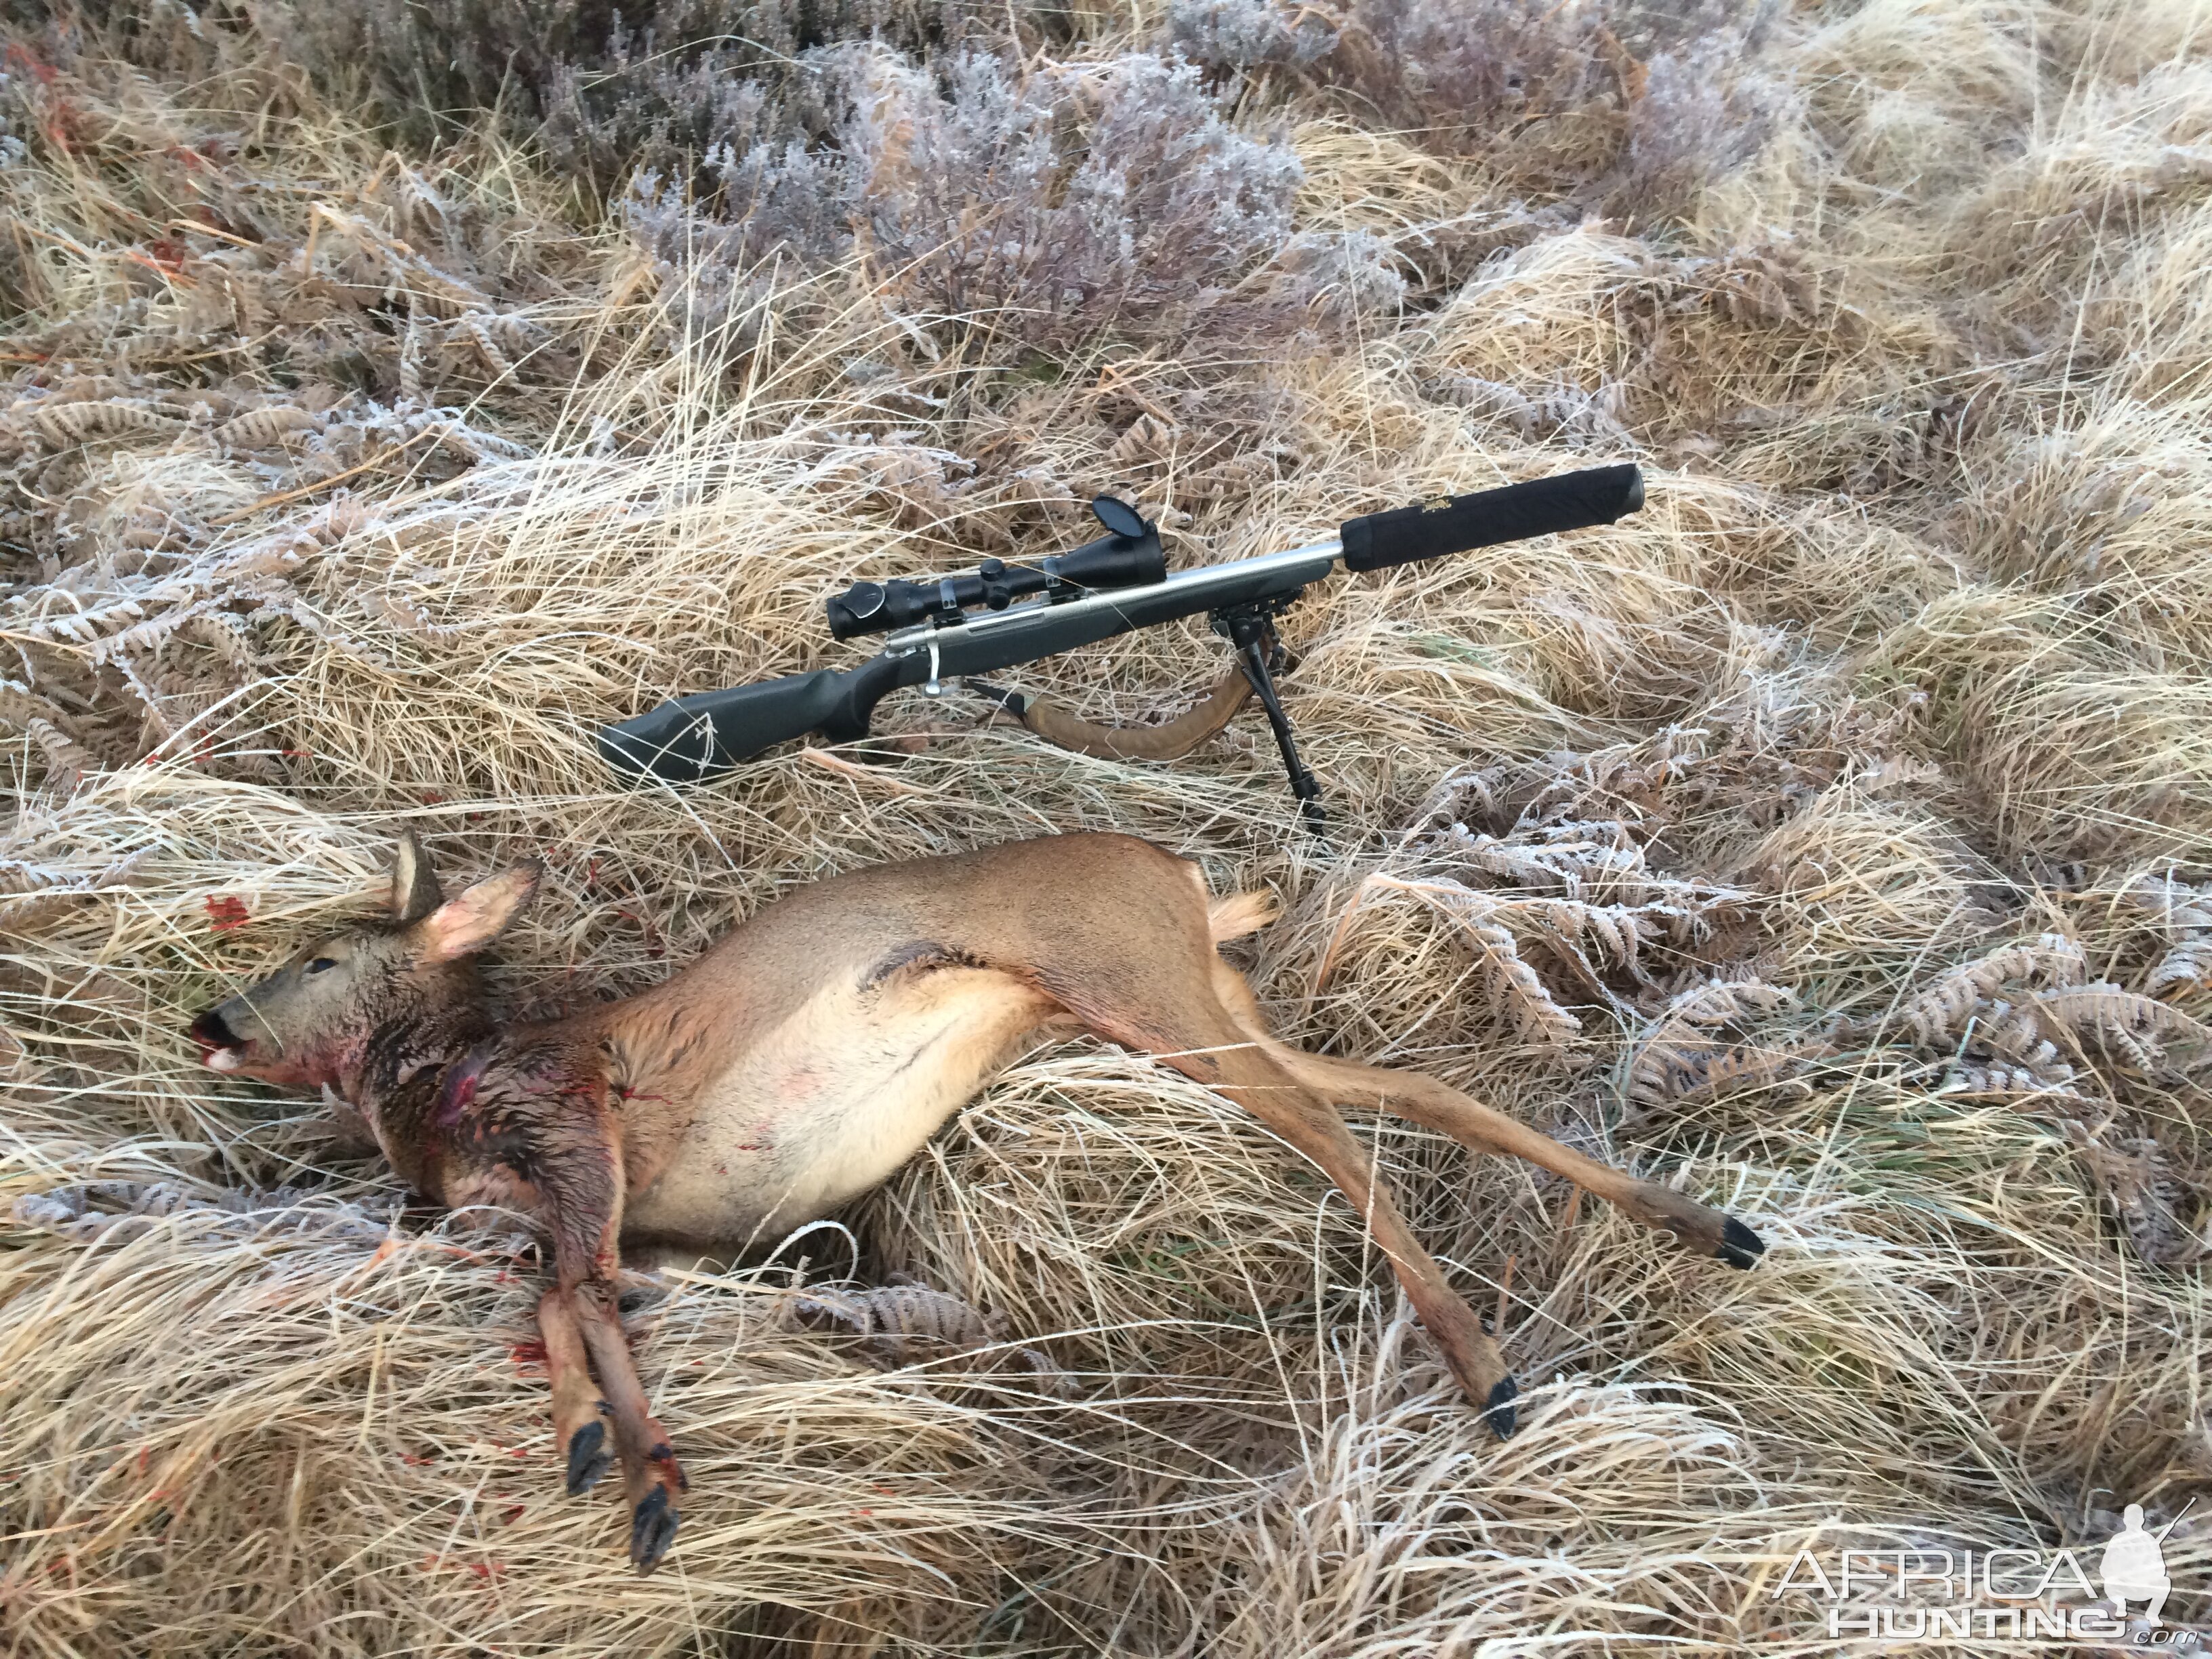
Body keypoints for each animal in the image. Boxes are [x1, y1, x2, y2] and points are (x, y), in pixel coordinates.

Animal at [199, 832, 1769, 1574]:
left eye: (322, 955)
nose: (211, 1016)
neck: (440, 1089)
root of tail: (1181, 876)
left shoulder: (571, 1124)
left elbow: (570, 1288)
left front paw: (637, 1474)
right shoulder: (574, 1204)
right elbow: (573, 1289)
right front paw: (605, 1452)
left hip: (1139, 988)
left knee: (1337, 1130)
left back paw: (1485, 1367)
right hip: (1205, 1002)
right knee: (1412, 1087)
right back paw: (1703, 1227)